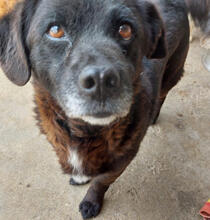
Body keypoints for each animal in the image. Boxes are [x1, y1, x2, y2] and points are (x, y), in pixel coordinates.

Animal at [0, 0, 207, 219]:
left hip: (172, 72)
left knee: (163, 93)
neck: (83, 131)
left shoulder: (120, 162)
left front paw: (91, 201)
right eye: (55, 30)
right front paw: (80, 177)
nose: (101, 80)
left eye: (125, 29)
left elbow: (101, 182)